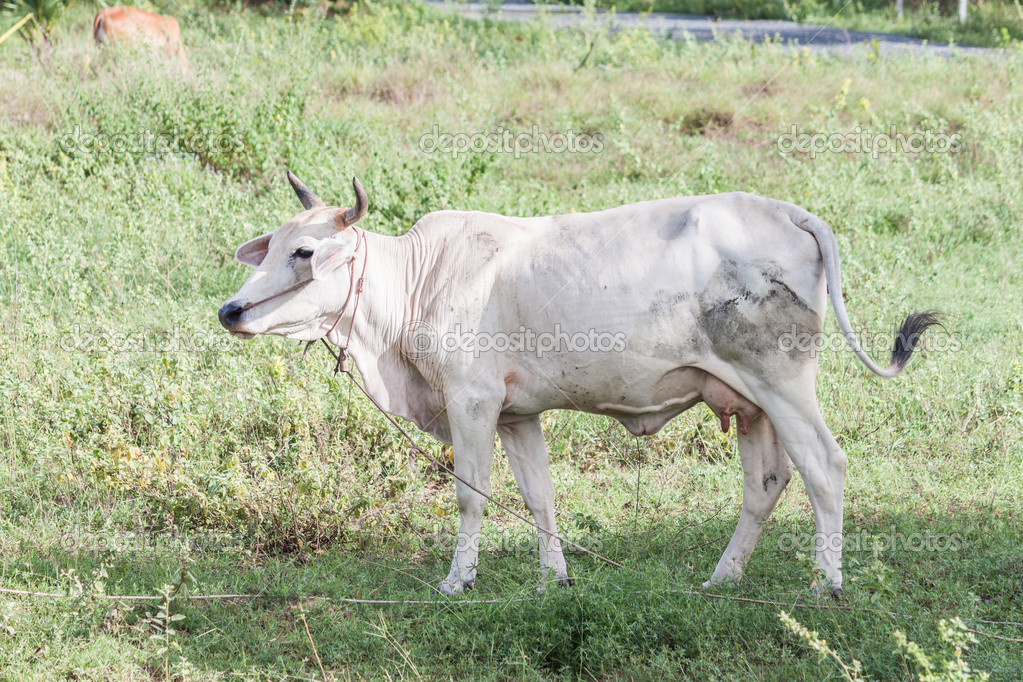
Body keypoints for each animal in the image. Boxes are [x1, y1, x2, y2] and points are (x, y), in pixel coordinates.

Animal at [219, 171, 937, 597]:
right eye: (273, 245)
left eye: (304, 253)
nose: (231, 311)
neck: (417, 284)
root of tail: (791, 213)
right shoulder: (516, 414)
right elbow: (538, 497)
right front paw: (552, 579)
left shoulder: (471, 401)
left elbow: (471, 498)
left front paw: (458, 582)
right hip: (748, 401)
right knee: (766, 482)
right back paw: (722, 578)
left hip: (782, 381)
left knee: (824, 468)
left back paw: (824, 584)